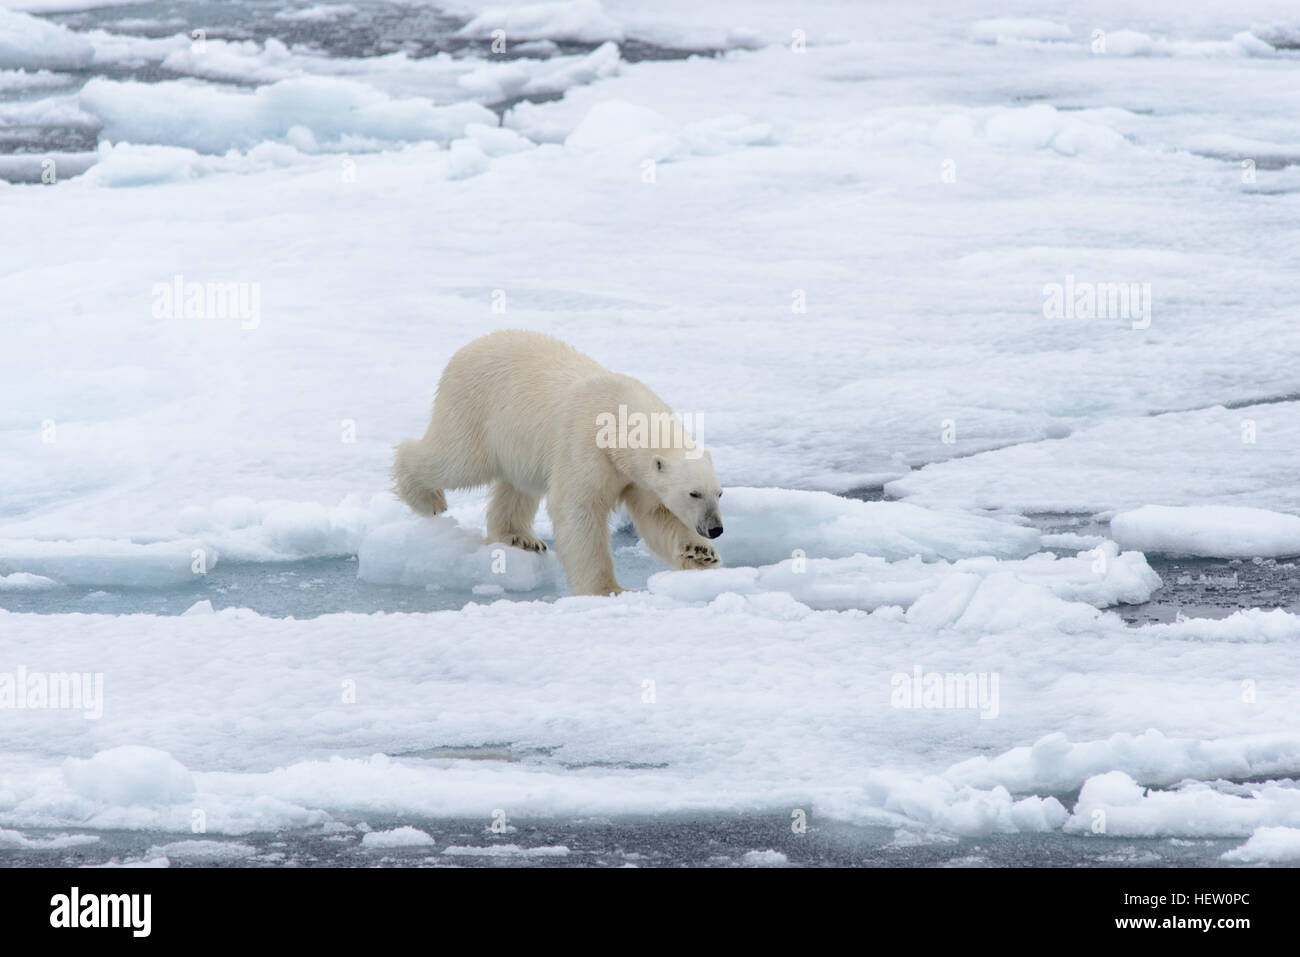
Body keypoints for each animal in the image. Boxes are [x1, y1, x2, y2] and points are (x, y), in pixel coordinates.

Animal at [393, 330, 724, 596]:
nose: (715, 529)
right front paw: (607, 589)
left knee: (517, 486)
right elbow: (578, 509)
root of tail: (469, 347)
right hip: (475, 409)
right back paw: (427, 498)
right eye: (693, 493)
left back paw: (520, 537)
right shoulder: (586, 446)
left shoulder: (638, 478)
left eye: (719, 493)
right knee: (457, 460)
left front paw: (700, 553)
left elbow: (657, 515)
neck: (620, 417)